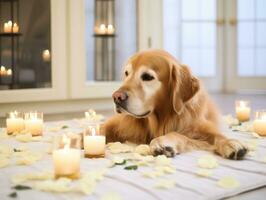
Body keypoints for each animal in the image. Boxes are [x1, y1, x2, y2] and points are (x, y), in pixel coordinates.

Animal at [103, 49, 247, 160]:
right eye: (127, 74)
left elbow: (213, 135)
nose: (116, 97)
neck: (160, 119)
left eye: (147, 77)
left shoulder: (199, 127)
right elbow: (101, 129)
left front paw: (230, 143)